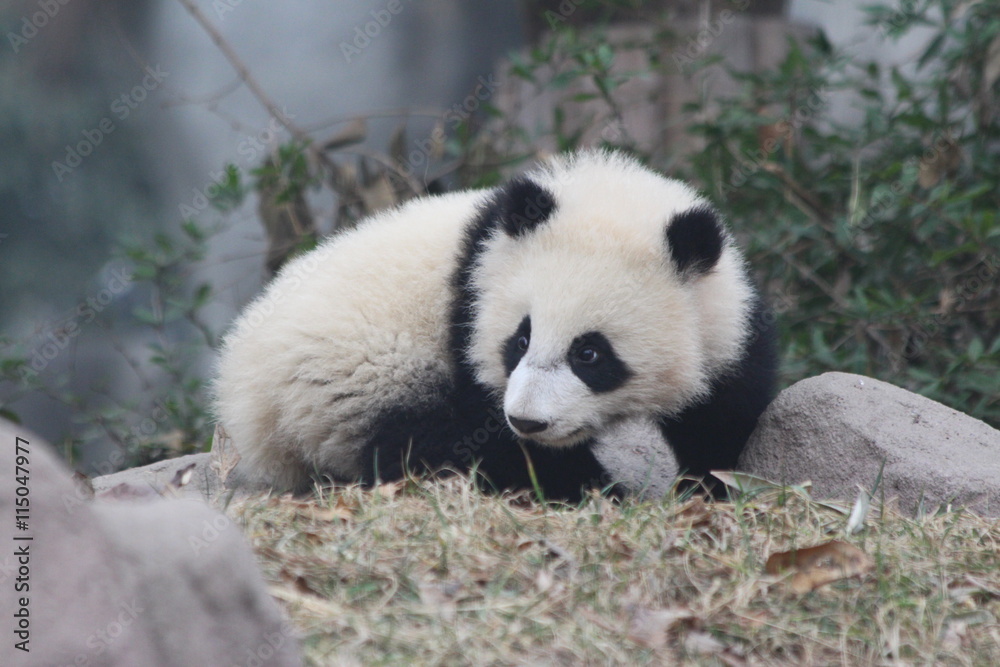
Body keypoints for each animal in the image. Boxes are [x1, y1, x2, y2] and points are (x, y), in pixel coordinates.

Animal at [214, 150, 777, 501]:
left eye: (589, 353)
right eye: (520, 339)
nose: (529, 421)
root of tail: (237, 386)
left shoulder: (720, 317)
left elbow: (724, 409)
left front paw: (711, 485)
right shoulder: (470, 312)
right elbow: (487, 436)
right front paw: (597, 492)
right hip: (351, 377)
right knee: (427, 437)